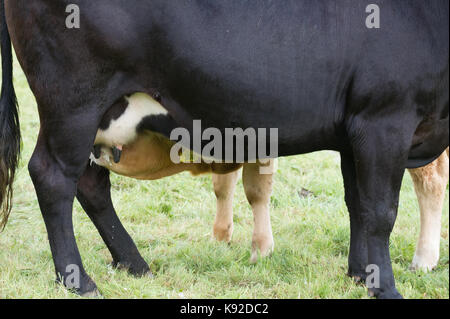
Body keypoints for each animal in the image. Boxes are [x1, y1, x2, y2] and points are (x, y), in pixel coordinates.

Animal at [1, 0, 448, 300]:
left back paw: (135, 264)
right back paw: (78, 280)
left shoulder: (353, 128)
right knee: (53, 176)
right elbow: (380, 212)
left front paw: (359, 276)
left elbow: (357, 204)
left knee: (90, 183)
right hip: (73, 102)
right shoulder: (384, 119)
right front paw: (385, 287)